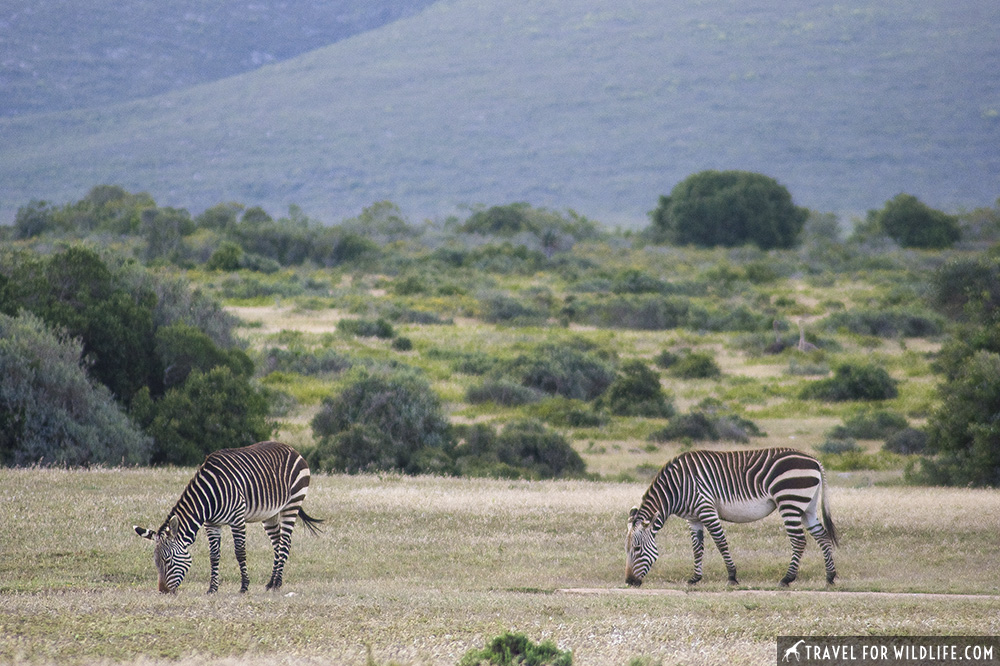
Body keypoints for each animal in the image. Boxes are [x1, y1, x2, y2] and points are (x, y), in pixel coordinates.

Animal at [133, 440, 320, 592]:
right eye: (156, 562)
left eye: (168, 560)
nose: (162, 591)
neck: (208, 498)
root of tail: (292, 448)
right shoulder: (212, 524)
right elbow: (214, 555)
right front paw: (212, 588)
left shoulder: (237, 518)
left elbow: (240, 552)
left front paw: (244, 586)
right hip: (271, 513)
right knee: (278, 544)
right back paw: (271, 582)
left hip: (292, 503)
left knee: (285, 544)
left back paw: (277, 583)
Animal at [624, 446, 836, 588]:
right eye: (626, 549)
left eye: (637, 548)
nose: (629, 582)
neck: (676, 489)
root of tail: (814, 460)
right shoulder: (694, 518)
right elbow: (697, 548)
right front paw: (695, 578)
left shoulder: (707, 509)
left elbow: (721, 543)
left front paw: (732, 577)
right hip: (807, 507)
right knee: (822, 537)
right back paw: (830, 577)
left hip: (790, 501)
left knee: (799, 541)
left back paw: (787, 579)